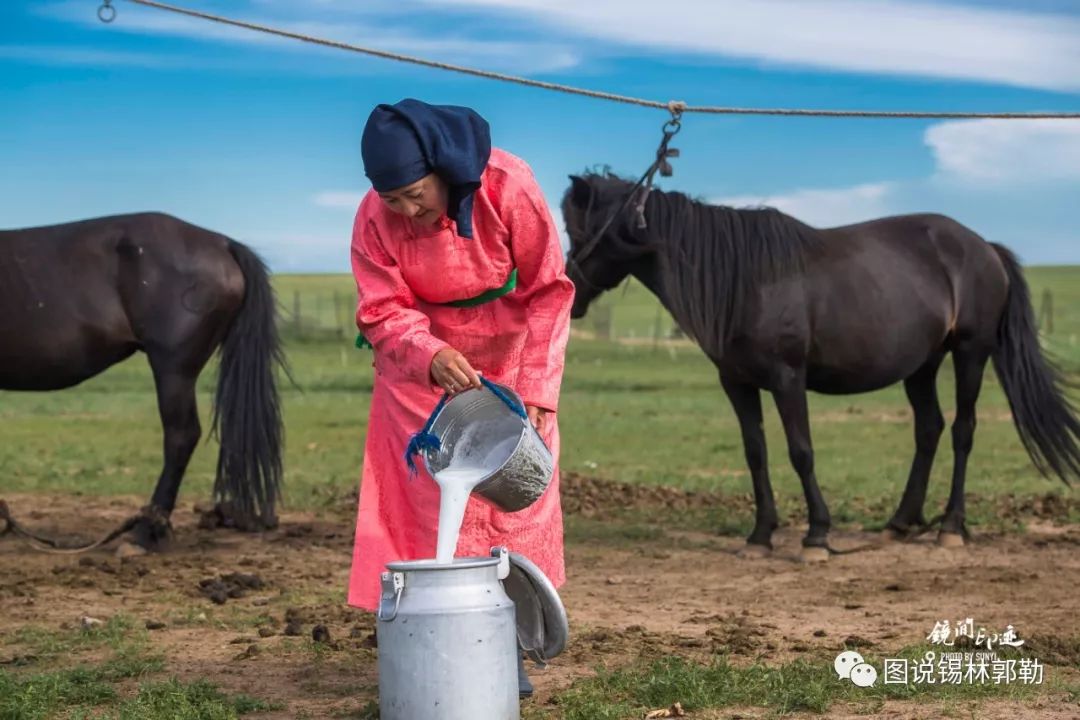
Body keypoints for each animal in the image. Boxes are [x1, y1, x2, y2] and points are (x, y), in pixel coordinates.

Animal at [561, 171, 1075, 561]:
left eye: (579, 231)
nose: (570, 293)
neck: (746, 280)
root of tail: (983, 246)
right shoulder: (737, 383)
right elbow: (755, 453)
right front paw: (760, 536)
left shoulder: (788, 379)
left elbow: (800, 452)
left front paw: (817, 537)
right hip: (922, 366)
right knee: (928, 428)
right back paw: (900, 523)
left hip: (971, 352)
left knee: (963, 431)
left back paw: (950, 526)